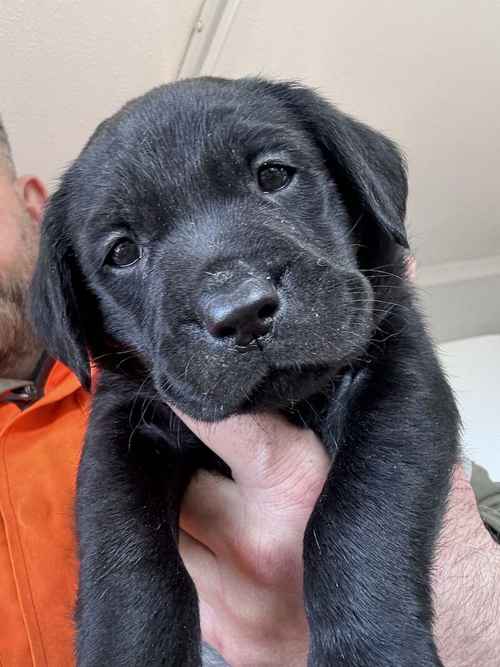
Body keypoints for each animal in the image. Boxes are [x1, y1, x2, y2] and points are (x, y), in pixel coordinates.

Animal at [31, 77, 458, 664]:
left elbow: (357, 514)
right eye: (122, 252)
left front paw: (370, 649)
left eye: (273, 176)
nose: (242, 311)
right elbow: (127, 559)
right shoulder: (122, 428)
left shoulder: (398, 378)